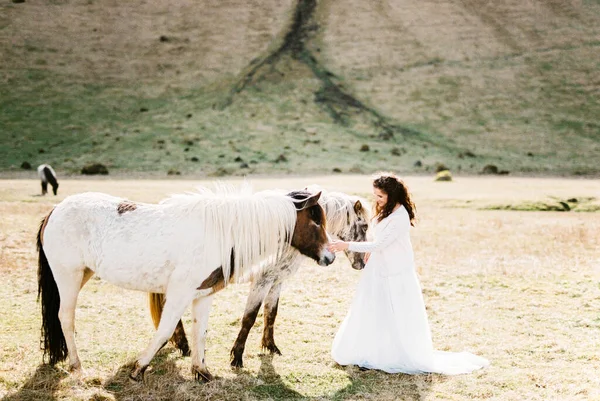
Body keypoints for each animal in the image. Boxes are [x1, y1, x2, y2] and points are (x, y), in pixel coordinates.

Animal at [37, 184, 336, 382]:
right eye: (315, 221)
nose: (330, 257)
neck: (221, 232)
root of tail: (56, 210)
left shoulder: (202, 295)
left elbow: (199, 332)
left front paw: (201, 371)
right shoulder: (179, 293)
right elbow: (165, 330)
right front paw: (139, 369)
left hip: (83, 274)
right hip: (69, 276)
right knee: (66, 317)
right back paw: (77, 365)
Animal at [148, 188, 370, 366]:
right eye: (365, 226)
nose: (362, 263)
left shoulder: (277, 281)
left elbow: (271, 313)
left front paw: (270, 346)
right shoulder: (262, 282)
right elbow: (250, 317)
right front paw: (237, 357)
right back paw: (183, 345)